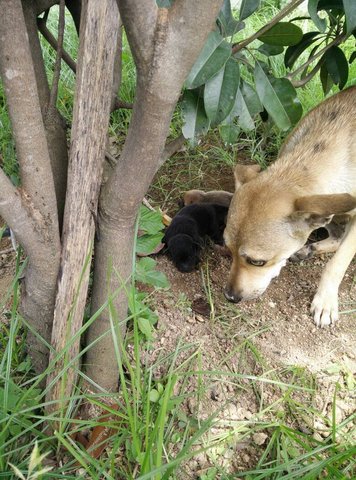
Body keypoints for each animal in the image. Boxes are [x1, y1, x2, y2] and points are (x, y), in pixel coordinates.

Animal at [224, 85, 356, 326]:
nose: (229, 297)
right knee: (336, 235)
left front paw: (325, 301)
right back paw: (308, 249)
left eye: (258, 262)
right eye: (228, 249)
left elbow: (337, 263)